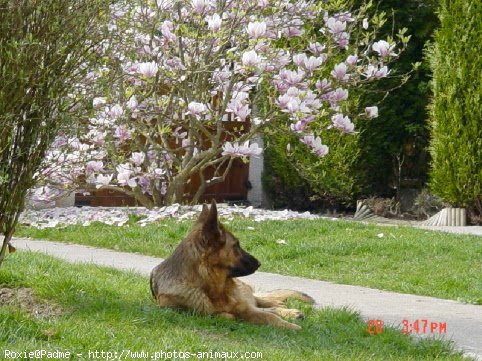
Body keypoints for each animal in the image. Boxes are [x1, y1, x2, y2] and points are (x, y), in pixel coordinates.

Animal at [151, 200, 316, 330]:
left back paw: (286, 309)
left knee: (263, 301)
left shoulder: (244, 307)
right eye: (236, 245)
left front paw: (288, 322)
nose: (259, 263)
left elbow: (267, 315)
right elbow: (235, 315)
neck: (212, 288)